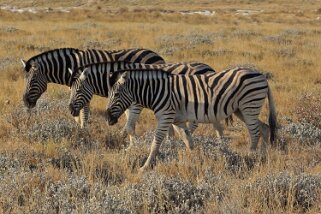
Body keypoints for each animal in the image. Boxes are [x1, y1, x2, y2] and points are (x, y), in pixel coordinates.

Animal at [21, 47, 164, 130]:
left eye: (32, 81)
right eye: (24, 80)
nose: (25, 102)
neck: (73, 64)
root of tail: (158, 56)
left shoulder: (85, 89)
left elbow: (84, 113)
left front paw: (83, 129)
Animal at [68, 61, 216, 146]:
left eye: (78, 90)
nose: (70, 110)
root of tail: (209, 67)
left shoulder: (136, 105)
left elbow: (129, 127)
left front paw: (127, 143)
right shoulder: (128, 105)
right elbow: (130, 126)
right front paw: (130, 145)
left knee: (194, 123)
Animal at [106, 67, 276, 171]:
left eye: (116, 94)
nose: (108, 119)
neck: (157, 91)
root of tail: (260, 75)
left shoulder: (165, 116)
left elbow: (156, 142)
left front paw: (145, 167)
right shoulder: (177, 120)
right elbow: (188, 140)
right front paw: (193, 159)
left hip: (249, 106)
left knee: (255, 132)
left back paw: (251, 156)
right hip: (242, 110)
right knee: (265, 128)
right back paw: (265, 155)